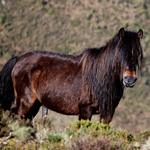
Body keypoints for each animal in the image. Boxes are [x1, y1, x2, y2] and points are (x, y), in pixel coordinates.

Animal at [0, 27, 144, 123]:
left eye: (137, 53)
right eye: (120, 53)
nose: (130, 79)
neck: (100, 76)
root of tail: (18, 59)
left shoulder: (108, 113)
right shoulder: (85, 111)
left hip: (34, 105)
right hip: (25, 102)